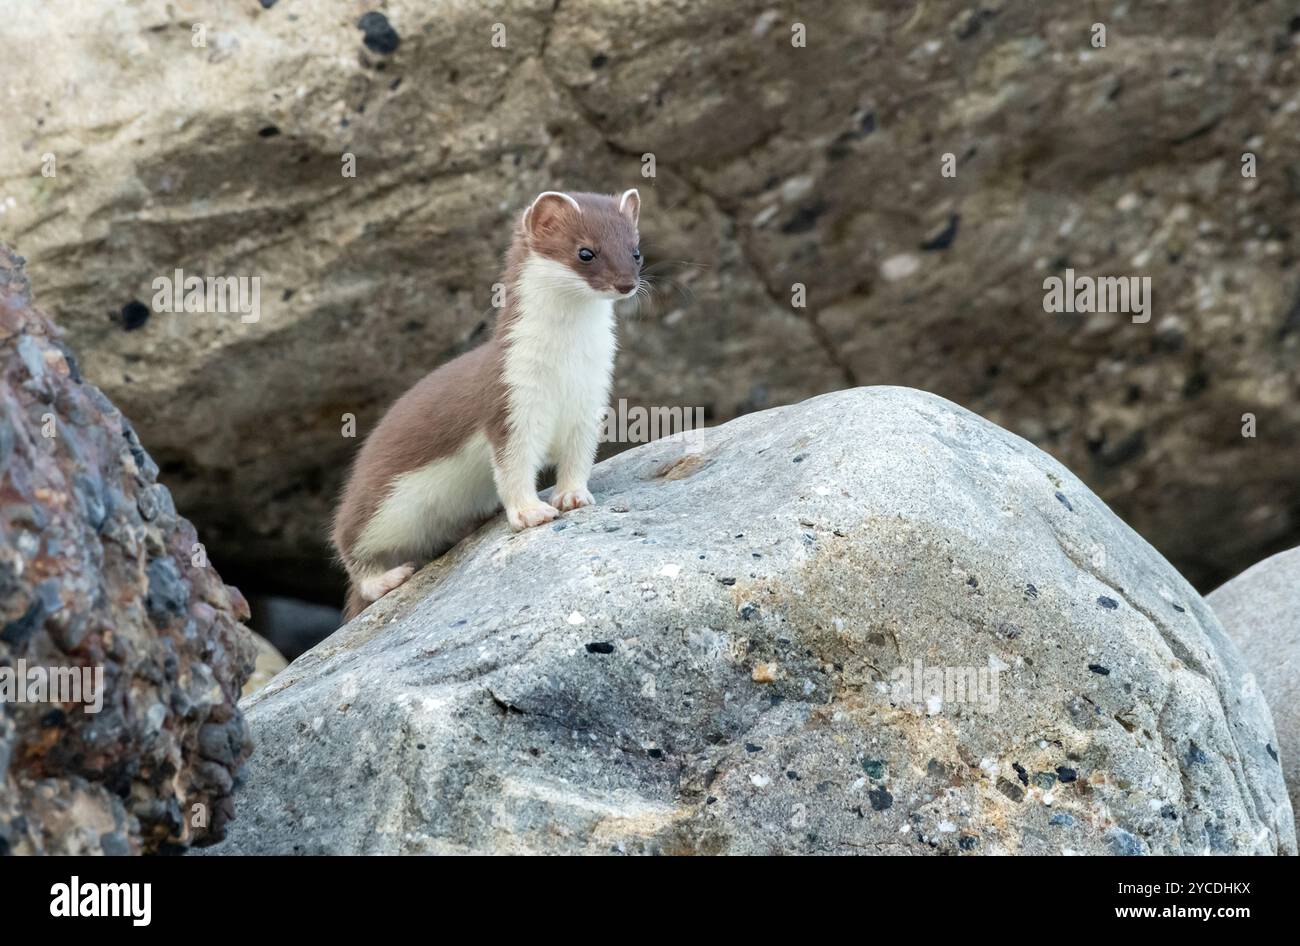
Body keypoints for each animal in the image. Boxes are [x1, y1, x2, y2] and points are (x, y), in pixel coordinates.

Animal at [332, 189, 642, 621]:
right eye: (585, 252)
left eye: (636, 251)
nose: (627, 284)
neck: (565, 368)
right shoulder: (511, 398)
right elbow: (513, 466)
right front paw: (530, 513)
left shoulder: (591, 399)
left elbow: (579, 456)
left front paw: (572, 496)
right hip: (375, 507)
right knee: (349, 546)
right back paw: (387, 578)